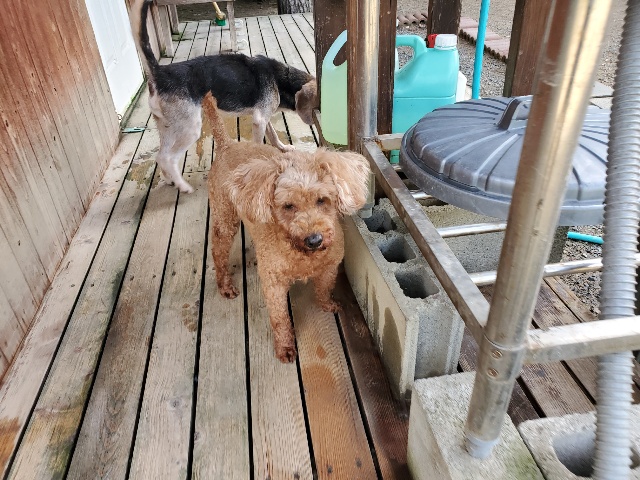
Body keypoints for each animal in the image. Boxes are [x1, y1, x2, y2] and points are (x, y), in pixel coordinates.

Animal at [131, 0, 319, 193]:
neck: (282, 79)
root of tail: (160, 73)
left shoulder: (262, 118)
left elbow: (273, 135)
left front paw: (284, 148)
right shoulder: (260, 119)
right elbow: (260, 144)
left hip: (167, 128)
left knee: (161, 156)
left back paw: (170, 180)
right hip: (190, 129)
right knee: (169, 158)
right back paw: (183, 186)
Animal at [202, 92, 370, 362]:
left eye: (322, 200)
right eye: (288, 206)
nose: (315, 239)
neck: (302, 255)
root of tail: (228, 144)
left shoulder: (329, 267)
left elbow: (324, 289)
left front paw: (327, 305)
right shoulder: (273, 284)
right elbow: (280, 318)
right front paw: (285, 348)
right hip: (224, 216)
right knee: (218, 250)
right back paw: (225, 286)